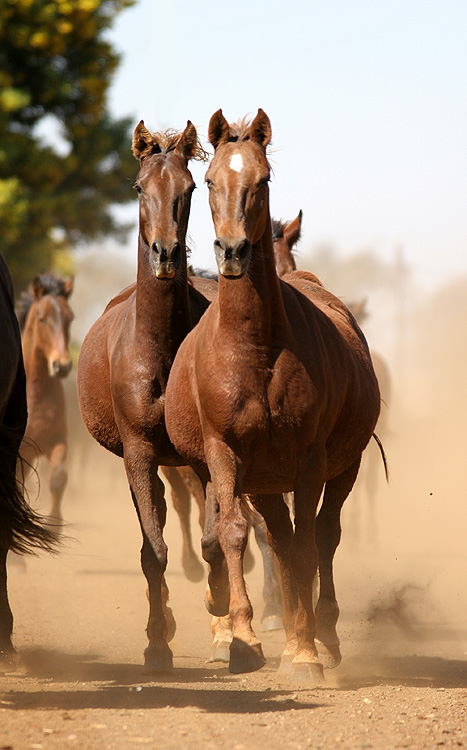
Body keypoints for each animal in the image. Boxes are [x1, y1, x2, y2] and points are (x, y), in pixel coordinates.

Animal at [77, 120, 216, 672]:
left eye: (190, 188)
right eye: (139, 188)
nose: (165, 254)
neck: (158, 348)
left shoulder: (200, 455)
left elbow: (214, 537)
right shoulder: (137, 451)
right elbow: (152, 551)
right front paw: (157, 645)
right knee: (150, 528)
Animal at [166, 110, 382, 680]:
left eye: (262, 180)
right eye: (209, 180)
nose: (232, 250)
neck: (255, 349)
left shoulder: (308, 460)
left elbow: (306, 546)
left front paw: (305, 653)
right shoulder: (225, 454)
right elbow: (237, 533)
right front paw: (245, 635)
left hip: (343, 466)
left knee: (322, 536)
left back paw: (320, 633)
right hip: (263, 478)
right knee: (278, 539)